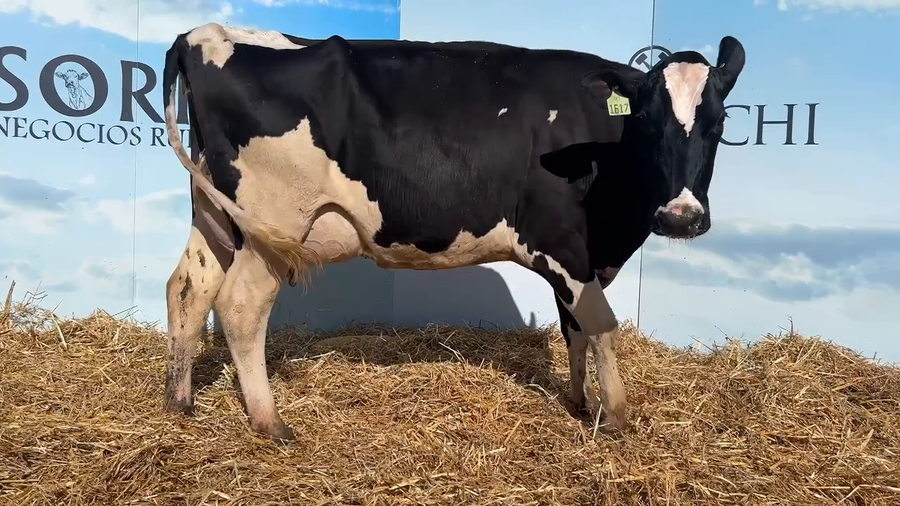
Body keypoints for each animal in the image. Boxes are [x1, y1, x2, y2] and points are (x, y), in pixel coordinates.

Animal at [160, 23, 745, 442]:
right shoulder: (561, 242)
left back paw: (179, 400)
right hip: (274, 223)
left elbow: (573, 326)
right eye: (646, 122)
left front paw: (579, 403)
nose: (681, 217)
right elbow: (599, 324)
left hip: (215, 214)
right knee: (240, 304)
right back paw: (269, 422)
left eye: (718, 124)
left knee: (188, 287)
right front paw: (617, 417)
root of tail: (205, 34)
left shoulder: (579, 255)